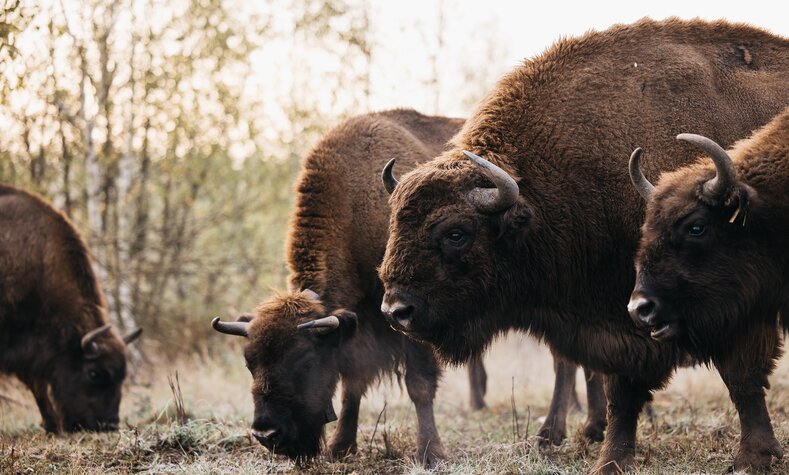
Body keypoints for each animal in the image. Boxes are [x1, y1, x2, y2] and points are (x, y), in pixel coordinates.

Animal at [209, 109, 604, 468]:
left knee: (565, 362)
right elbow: (352, 383)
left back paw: (554, 434)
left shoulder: (409, 319)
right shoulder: (360, 327)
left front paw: (430, 453)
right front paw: (341, 447)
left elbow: (418, 385)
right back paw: (592, 428)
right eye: (249, 362)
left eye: (303, 359)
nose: (267, 434)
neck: (355, 201)